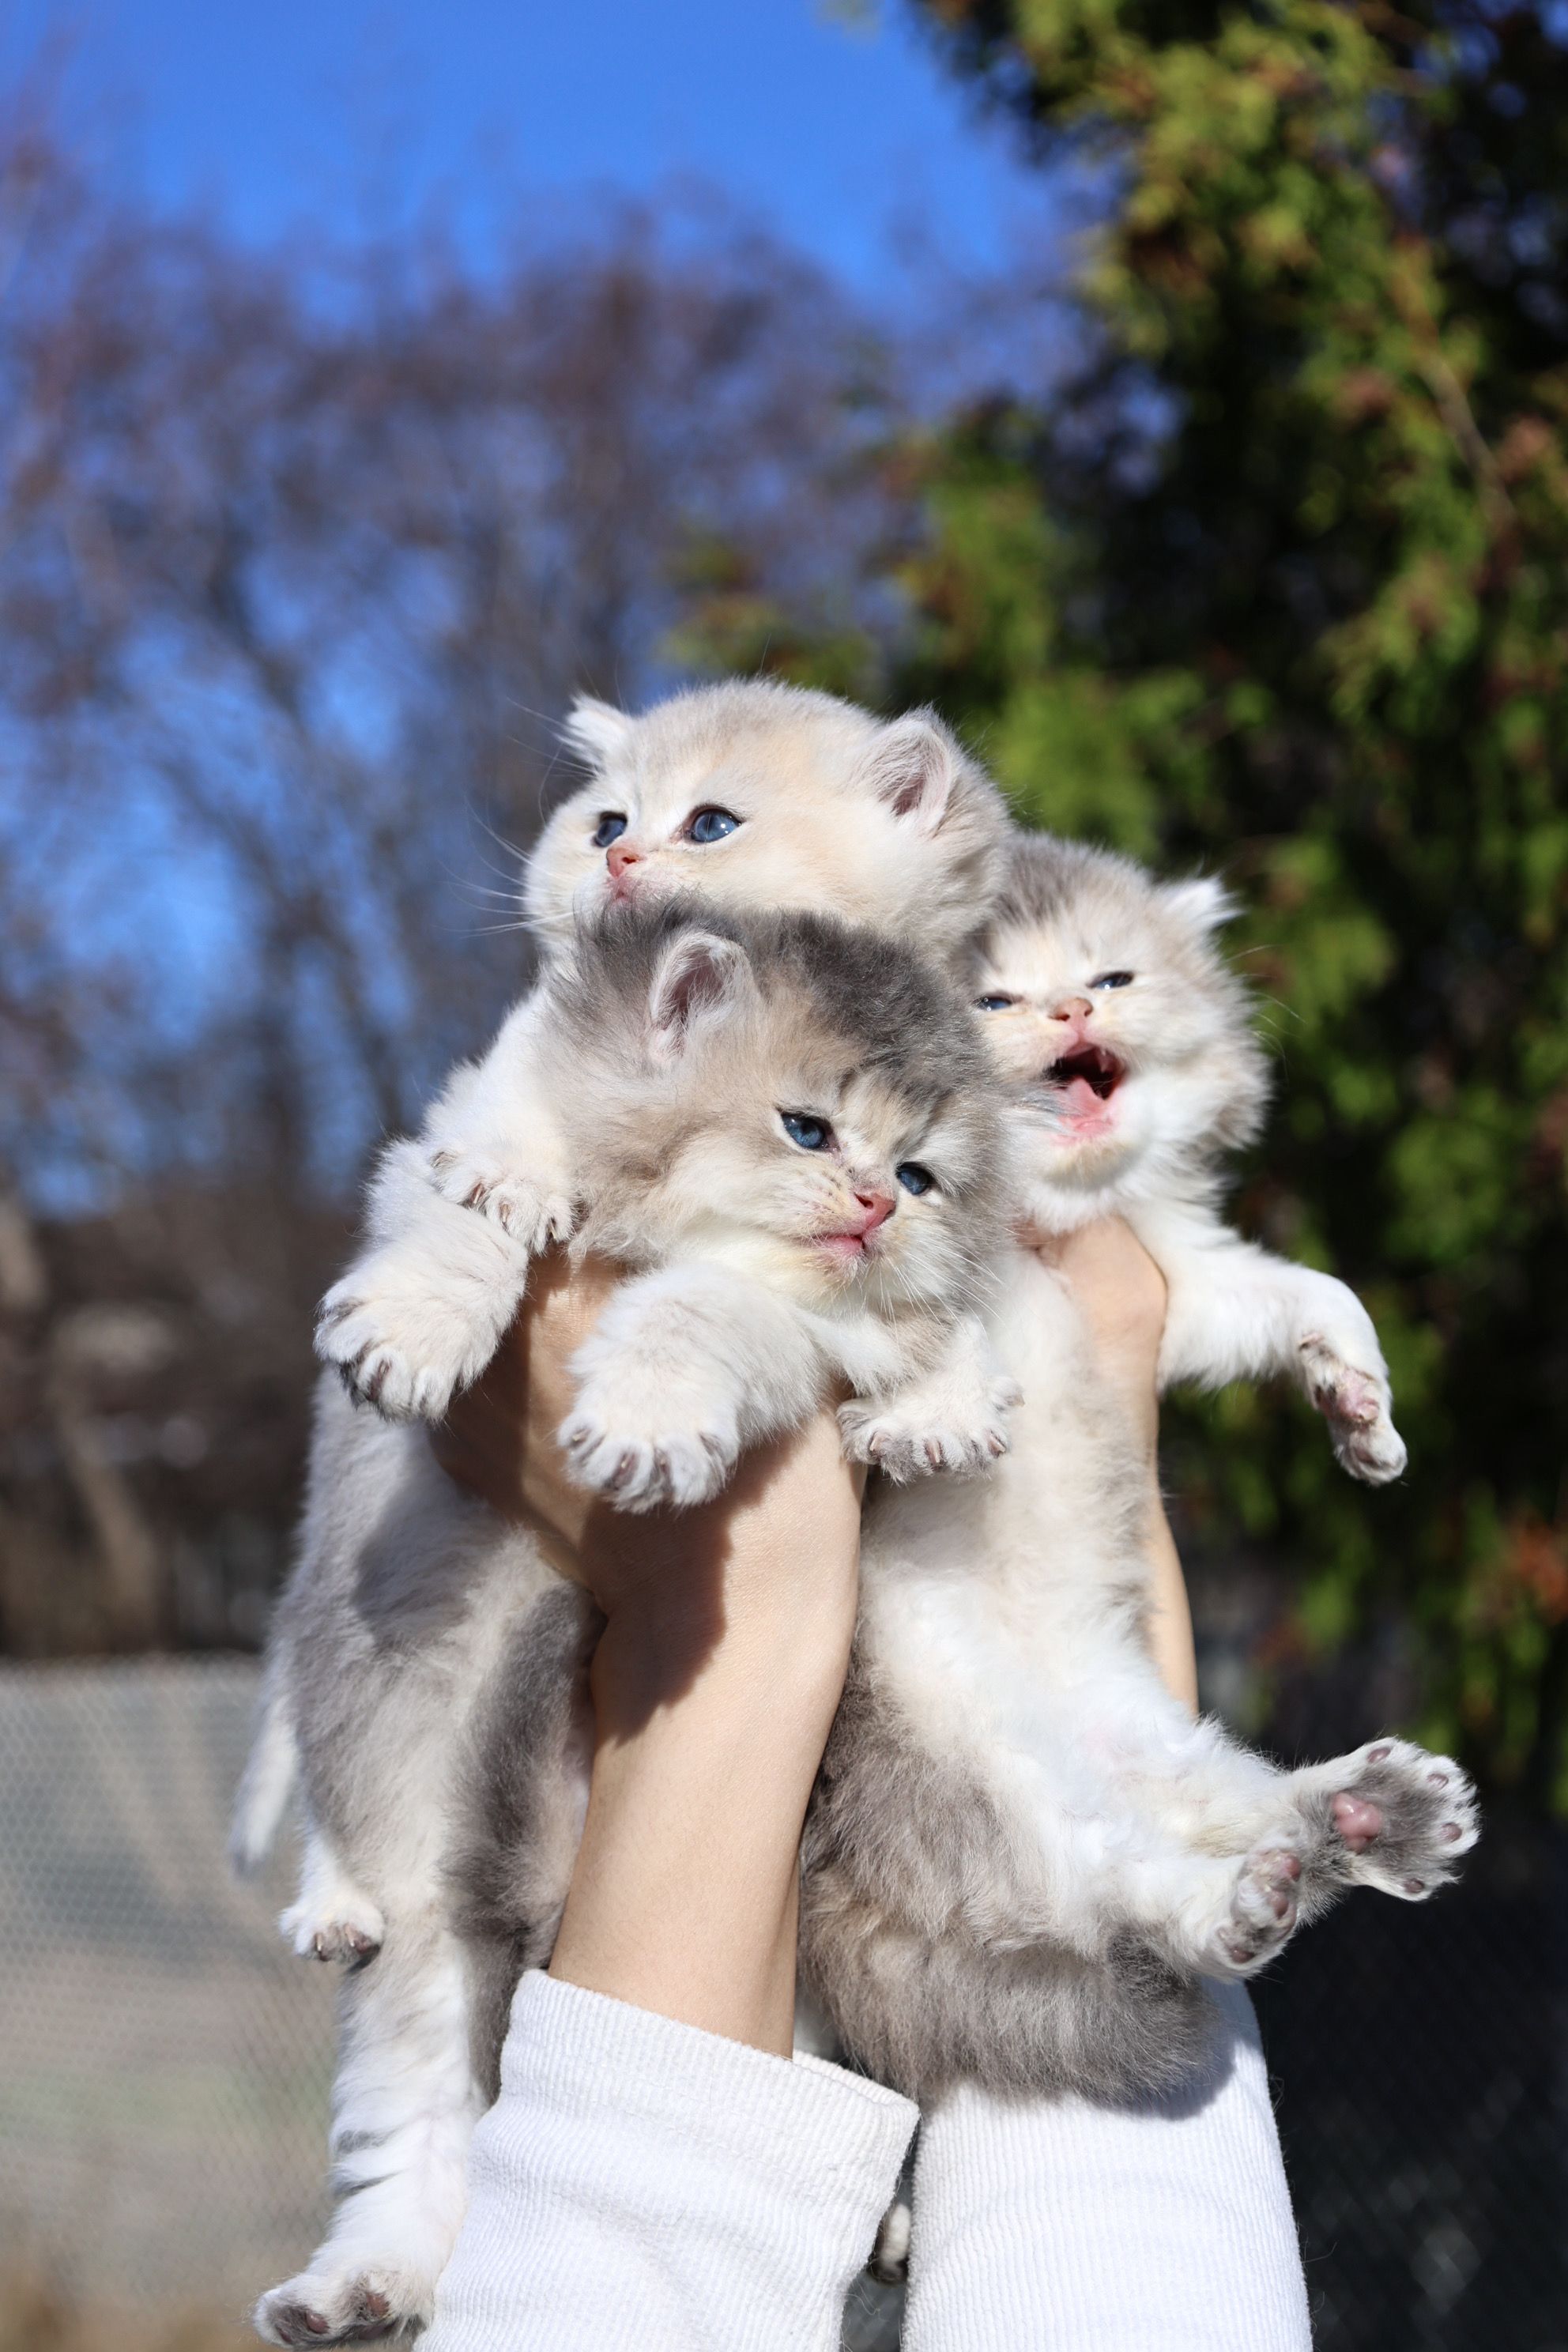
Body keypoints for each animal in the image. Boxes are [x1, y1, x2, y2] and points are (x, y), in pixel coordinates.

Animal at [799, 829, 1477, 2104]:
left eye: (1109, 977)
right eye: (993, 998)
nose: (1072, 1009)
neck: (1045, 1213)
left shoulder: (1185, 1283)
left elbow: (1305, 1289)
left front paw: (1360, 1403)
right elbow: (917, 1315)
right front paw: (935, 1415)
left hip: (1161, 1744)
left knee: (1232, 1821)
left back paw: (1369, 1818)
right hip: (975, 1792)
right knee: (1116, 1901)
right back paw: (1238, 1905)